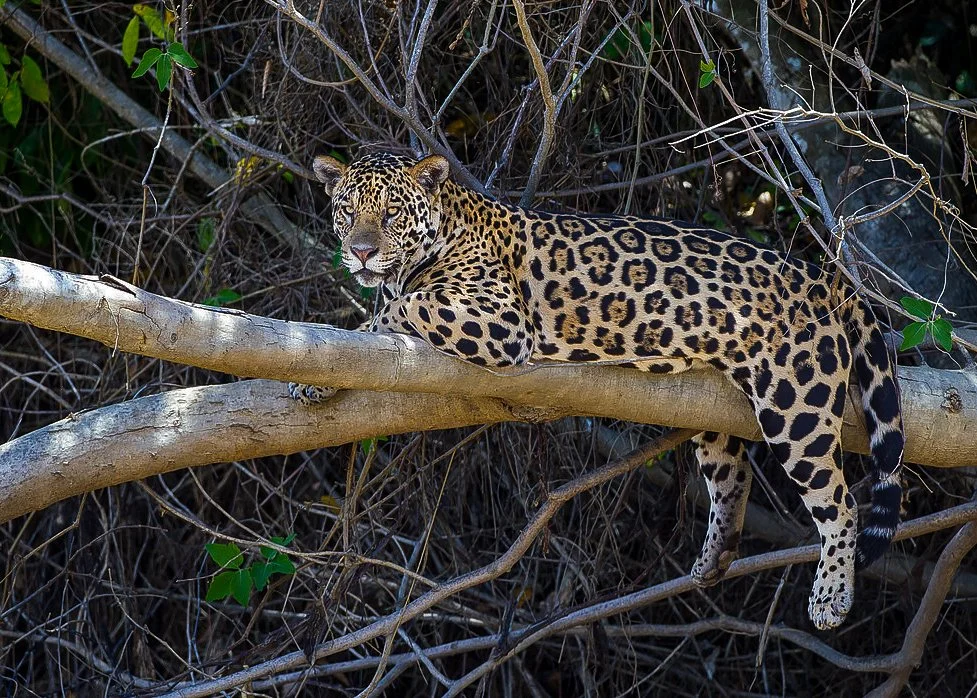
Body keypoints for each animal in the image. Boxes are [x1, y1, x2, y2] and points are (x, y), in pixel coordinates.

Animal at [289, 151, 905, 630]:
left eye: (392, 212)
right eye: (348, 210)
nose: (362, 252)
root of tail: (820, 274)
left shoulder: (499, 318)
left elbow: (402, 307)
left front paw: (330, 356)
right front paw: (313, 376)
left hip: (796, 402)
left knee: (842, 503)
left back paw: (831, 595)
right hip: (717, 413)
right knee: (735, 476)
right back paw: (715, 557)